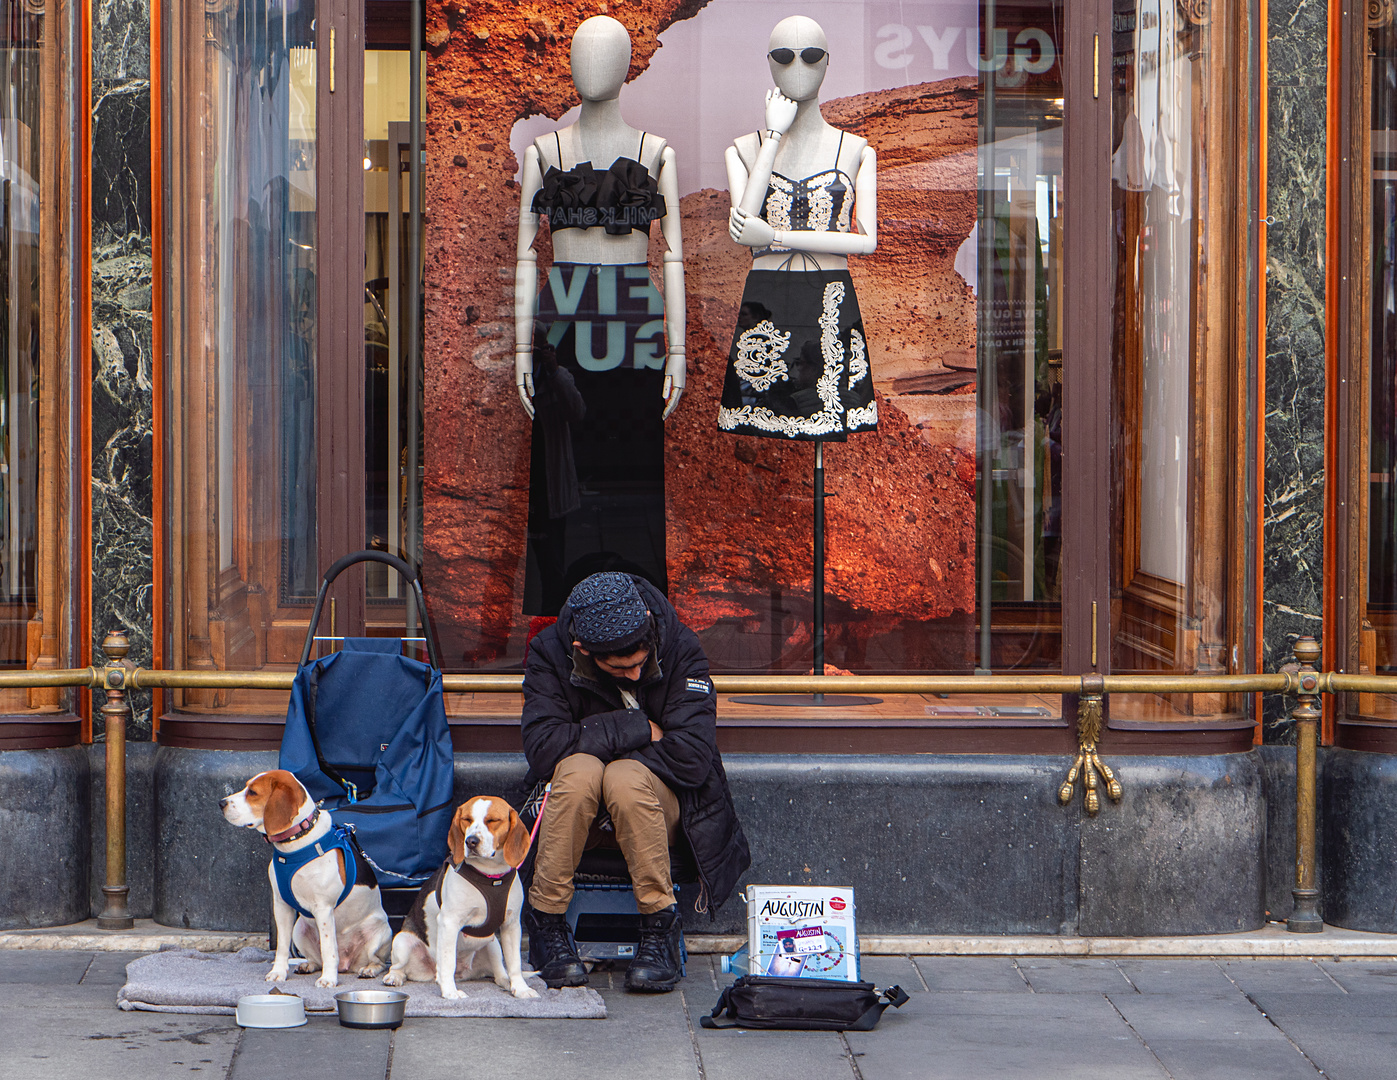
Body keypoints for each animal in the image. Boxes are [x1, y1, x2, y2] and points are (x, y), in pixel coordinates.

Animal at [217, 765, 393, 983]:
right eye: (245, 787)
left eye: (253, 792)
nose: (221, 803)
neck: (296, 841)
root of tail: (346, 965)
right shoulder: (281, 905)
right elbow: (282, 947)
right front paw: (278, 972)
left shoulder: (323, 908)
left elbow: (328, 948)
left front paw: (329, 979)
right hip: (299, 928)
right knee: (316, 958)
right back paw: (308, 965)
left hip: (380, 932)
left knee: (377, 961)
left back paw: (368, 969)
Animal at [382, 793, 539, 1000]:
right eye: (466, 819)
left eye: (492, 820)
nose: (471, 841)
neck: (490, 876)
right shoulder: (449, 922)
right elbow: (448, 961)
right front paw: (450, 991)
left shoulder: (511, 925)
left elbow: (515, 964)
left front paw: (520, 988)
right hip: (403, 942)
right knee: (399, 967)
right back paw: (395, 977)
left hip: (493, 944)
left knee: (499, 973)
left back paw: (507, 982)